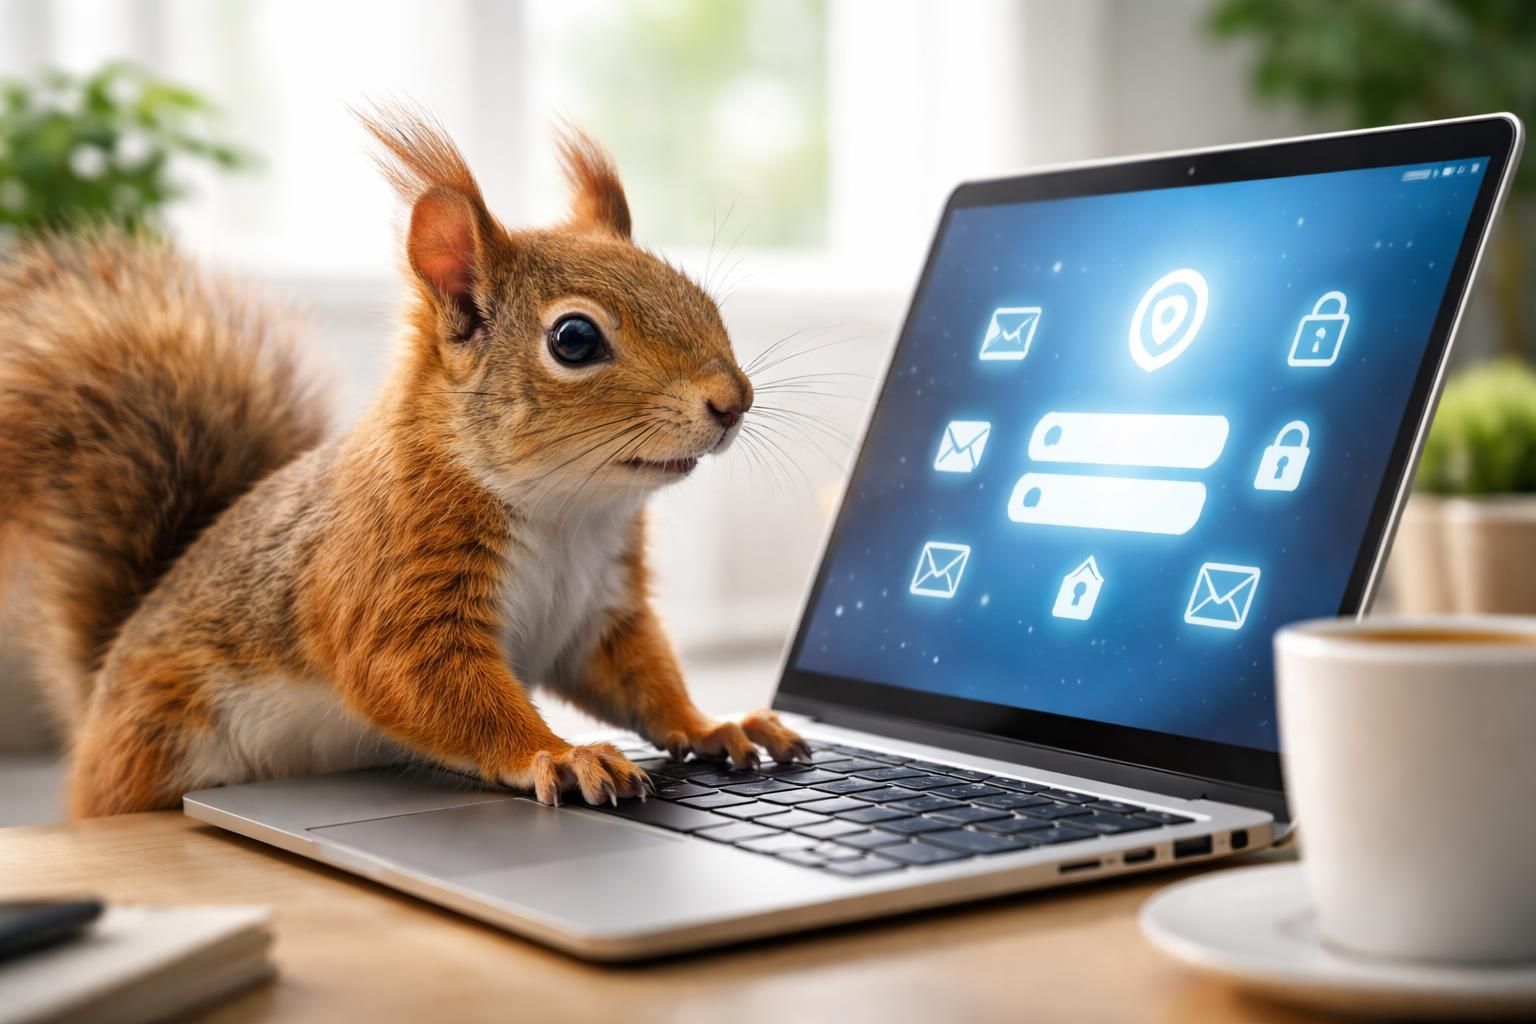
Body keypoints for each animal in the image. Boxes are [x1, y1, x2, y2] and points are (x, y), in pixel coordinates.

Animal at [0, 108, 808, 818]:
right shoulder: (386, 573)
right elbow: (416, 676)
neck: (565, 512)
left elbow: (641, 680)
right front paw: (562, 754)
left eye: (701, 298)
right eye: (574, 339)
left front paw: (715, 725)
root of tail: (101, 690)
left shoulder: (599, 610)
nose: (733, 401)